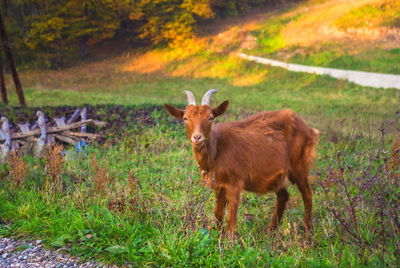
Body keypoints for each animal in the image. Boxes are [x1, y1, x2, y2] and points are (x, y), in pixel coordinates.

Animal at [164, 89, 320, 234]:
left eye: (211, 117)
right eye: (185, 118)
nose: (197, 137)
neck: (217, 149)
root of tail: (309, 129)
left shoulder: (234, 183)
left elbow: (231, 218)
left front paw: (230, 241)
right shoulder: (218, 185)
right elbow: (218, 213)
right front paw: (218, 235)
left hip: (299, 165)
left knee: (307, 195)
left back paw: (308, 231)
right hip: (278, 174)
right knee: (283, 196)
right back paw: (270, 231)